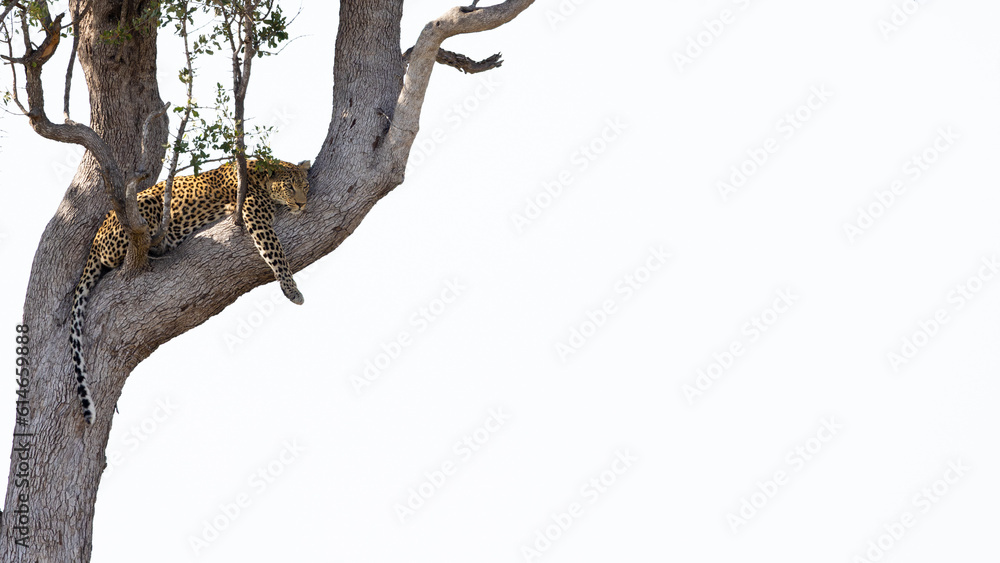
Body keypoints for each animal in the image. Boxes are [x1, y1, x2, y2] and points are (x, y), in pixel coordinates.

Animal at [70, 159, 311, 424]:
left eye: (305, 186)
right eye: (289, 187)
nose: (302, 203)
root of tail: (96, 239)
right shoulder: (255, 215)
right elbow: (276, 252)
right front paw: (292, 290)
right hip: (145, 207)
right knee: (116, 256)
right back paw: (159, 244)